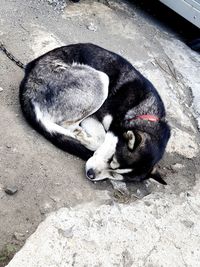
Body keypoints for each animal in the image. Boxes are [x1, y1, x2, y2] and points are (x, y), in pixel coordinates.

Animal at [19, 44, 170, 185]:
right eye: (111, 159)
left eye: (115, 176)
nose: (90, 174)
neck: (144, 115)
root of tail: (29, 84)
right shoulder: (96, 117)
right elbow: (101, 139)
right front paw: (85, 139)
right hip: (102, 79)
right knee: (67, 125)